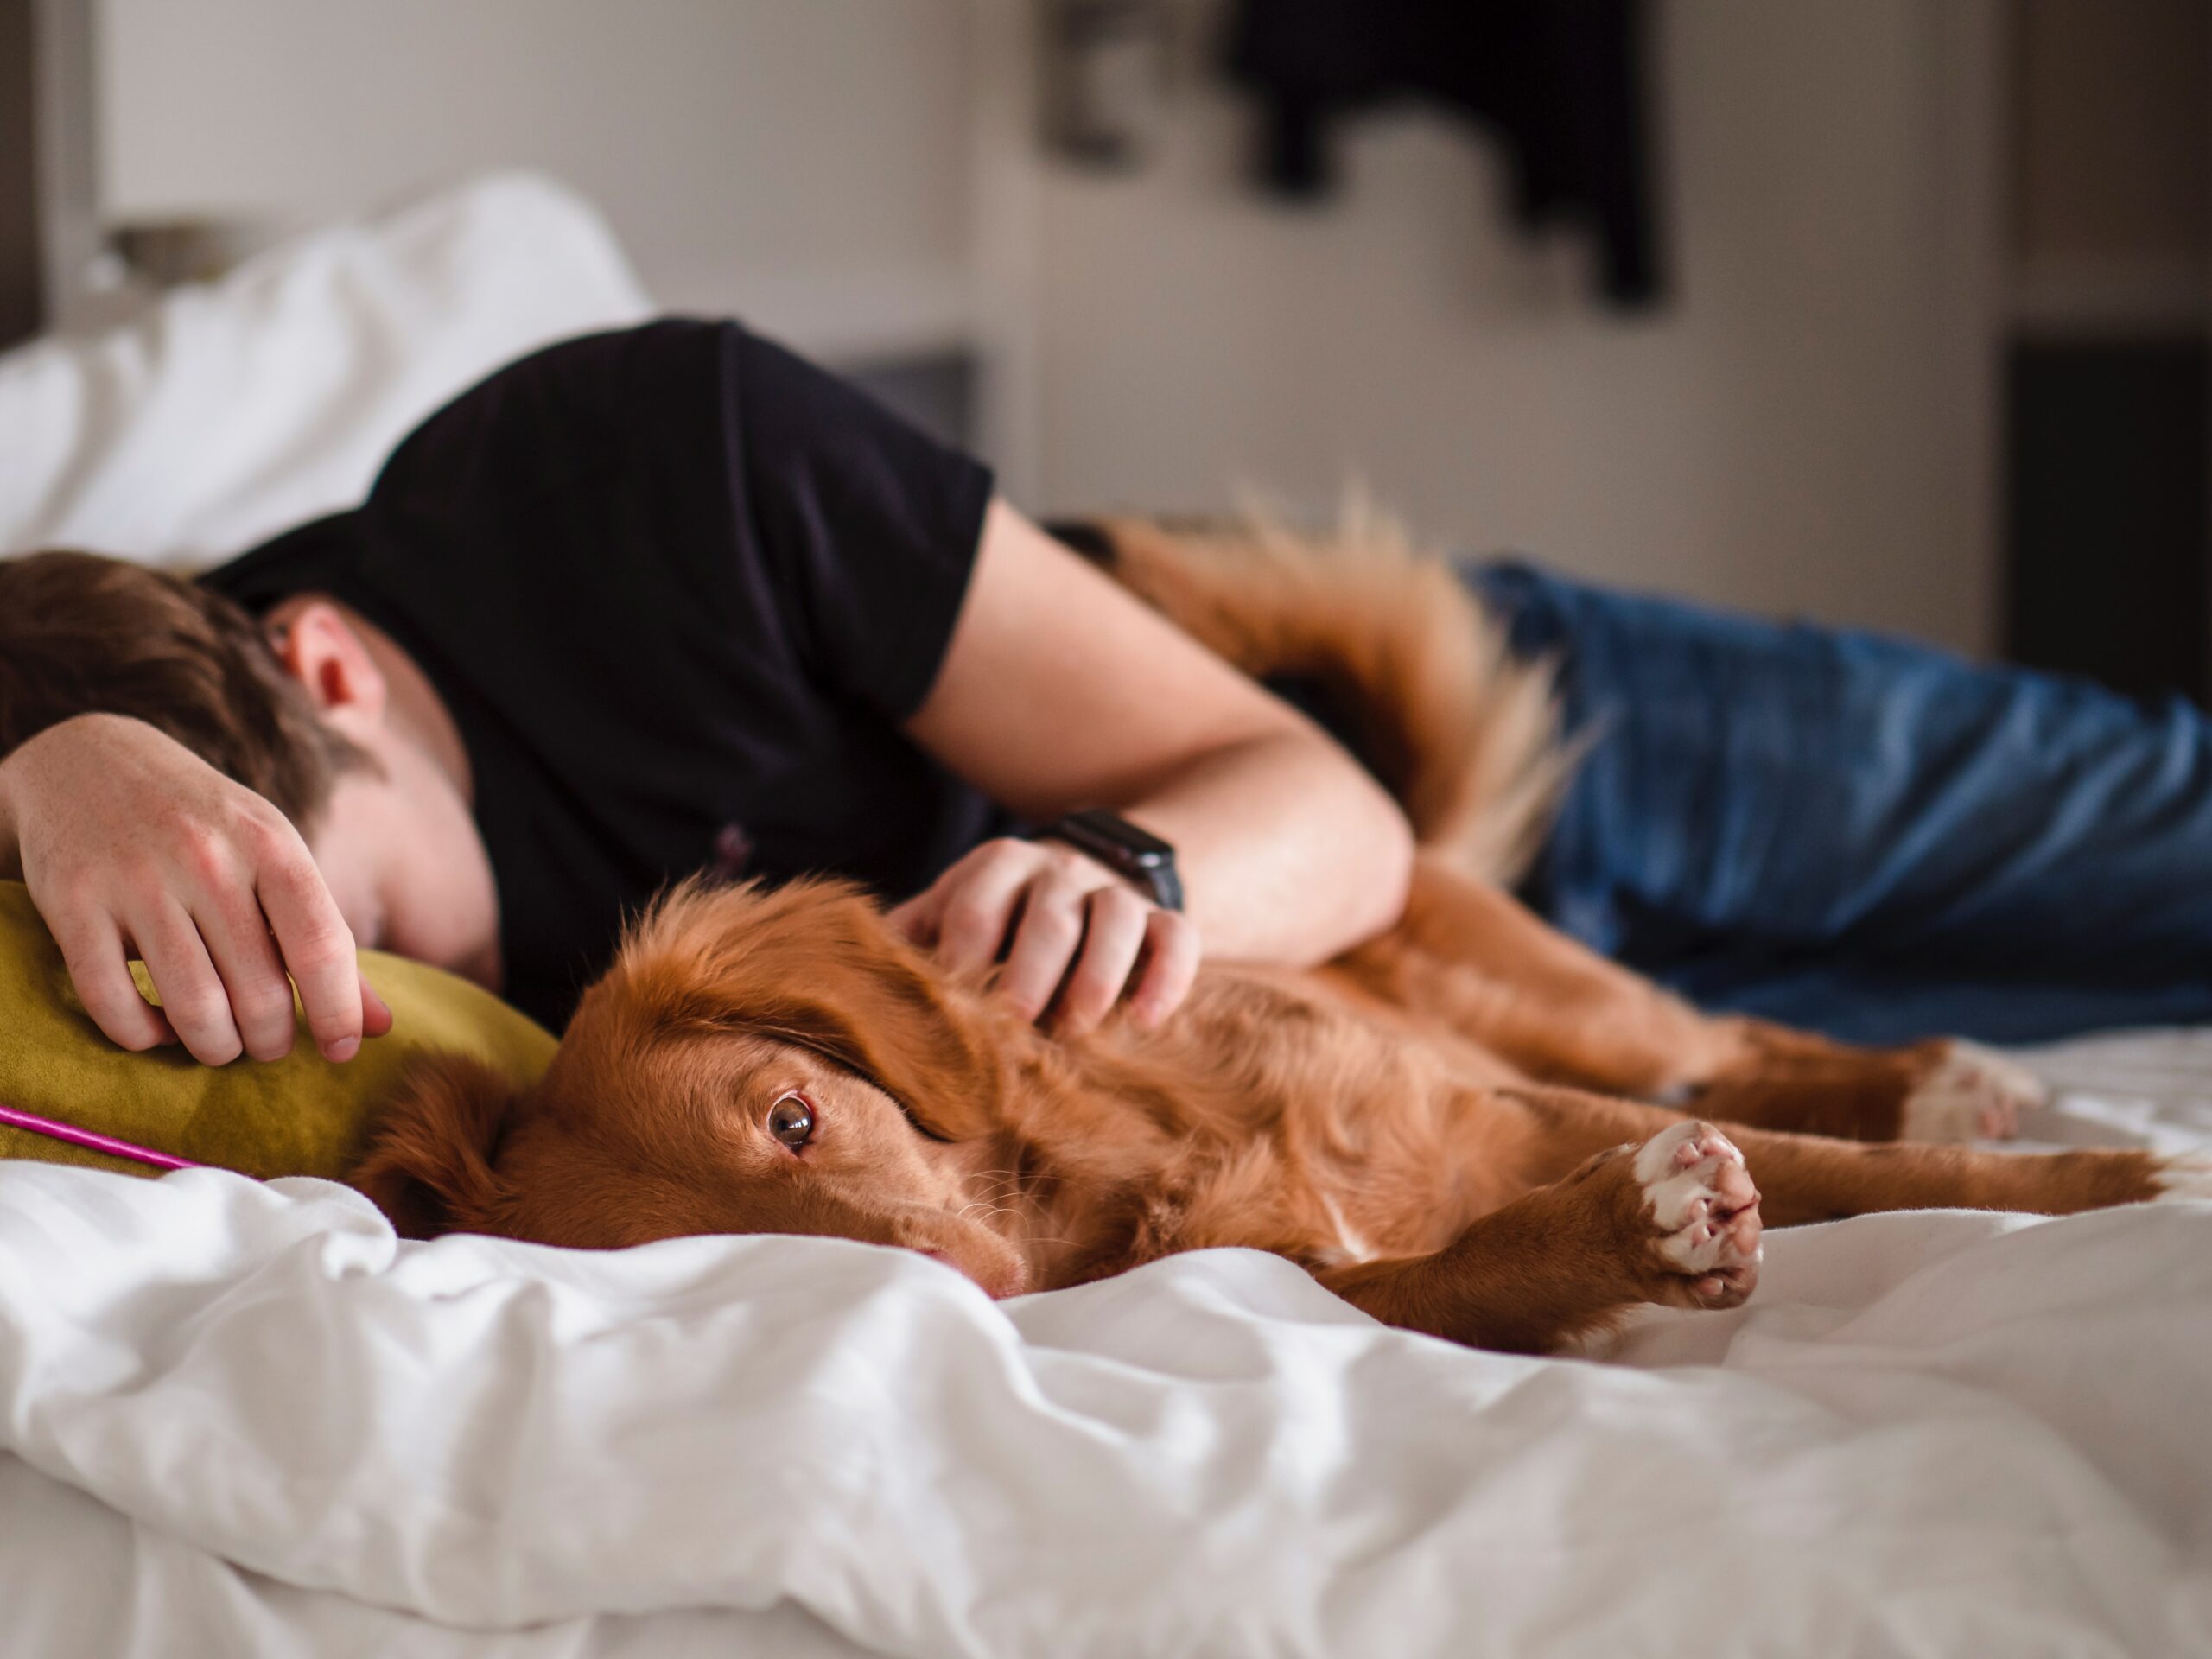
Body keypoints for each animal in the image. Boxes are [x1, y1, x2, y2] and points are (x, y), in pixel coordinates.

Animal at [353, 522, 2202, 1362]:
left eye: (798, 1119)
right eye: (730, 1264)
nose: (977, 1294)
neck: (1118, 1164)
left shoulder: (1501, 1103)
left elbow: (1866, 1174)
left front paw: (2130, 1182)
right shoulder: (1322, 1281)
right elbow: (1480, 1262)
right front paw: (1634, 1236)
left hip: (1560, 1002)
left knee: (1729, 1041)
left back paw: (1943, 1077)